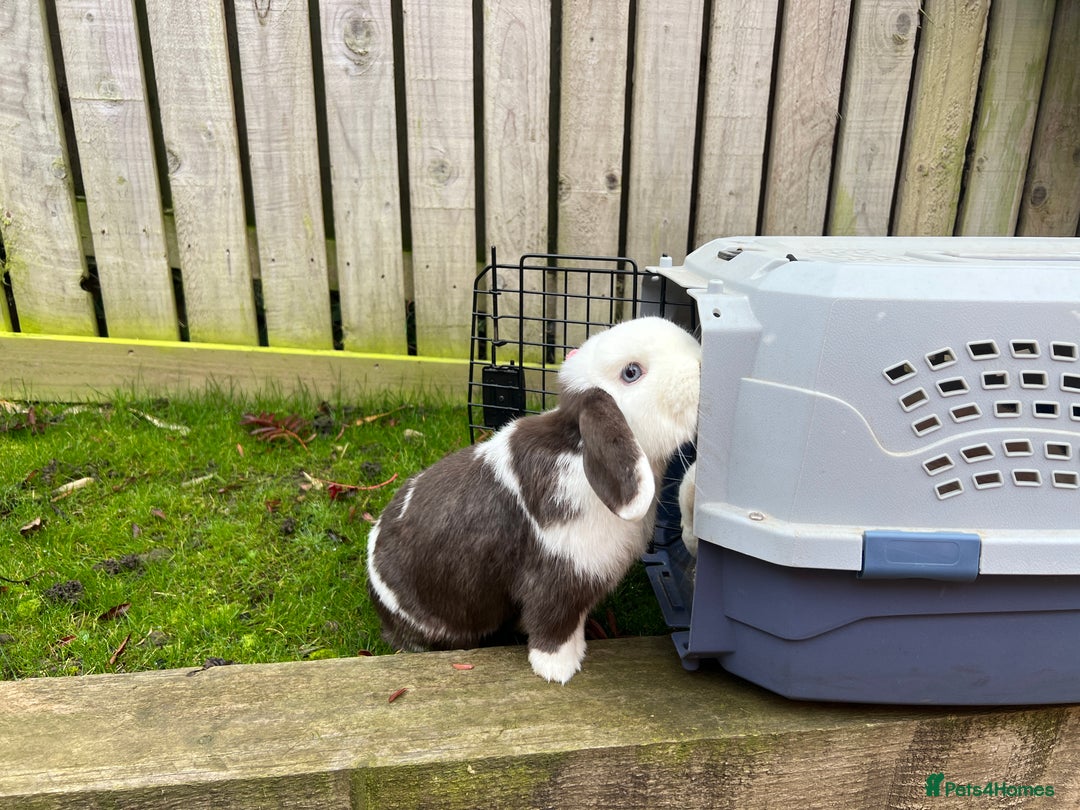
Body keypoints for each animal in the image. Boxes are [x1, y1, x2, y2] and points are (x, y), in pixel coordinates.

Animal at [366, 316, 701, 683]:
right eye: (631, 372)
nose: (702, 363)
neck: (579, 451)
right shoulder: (558, 577)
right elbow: (553, 626)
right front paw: (557, 670)